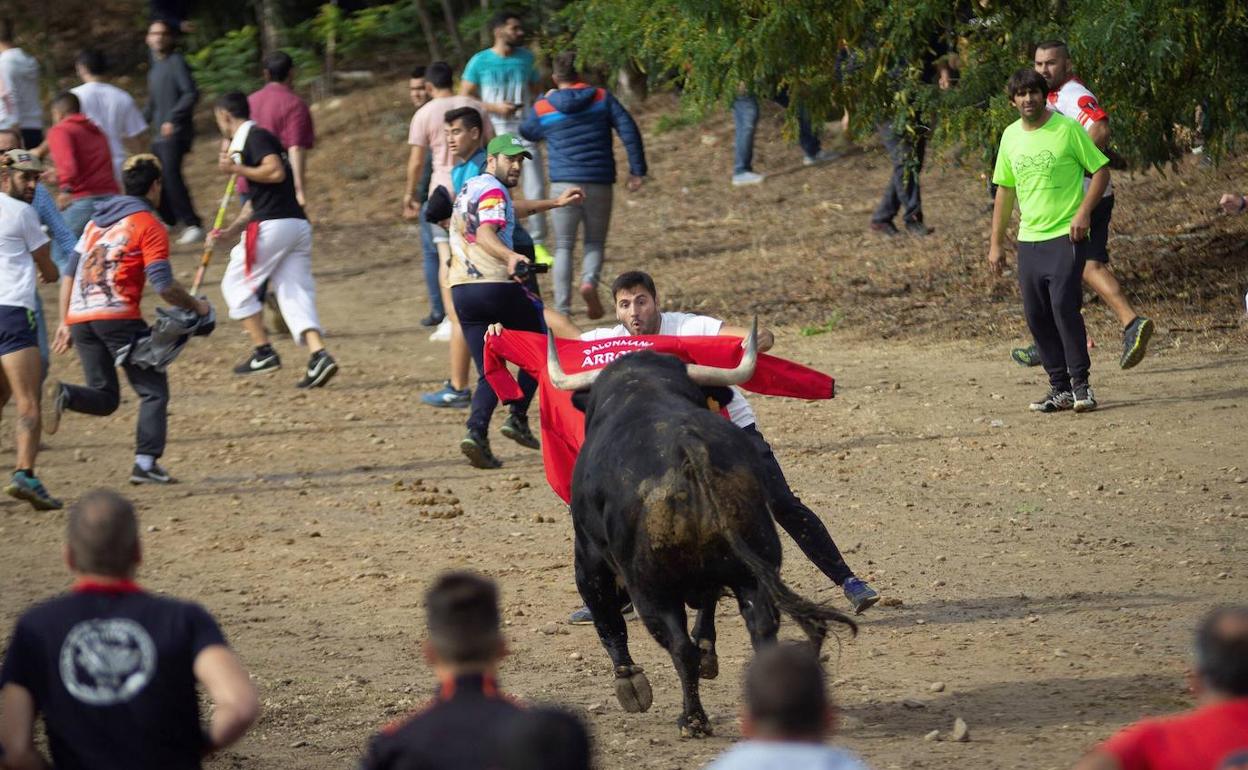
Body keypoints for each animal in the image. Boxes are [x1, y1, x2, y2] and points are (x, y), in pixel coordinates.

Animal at [556, 341, 858, 733]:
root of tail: (688, 448)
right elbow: (709, 609)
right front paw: (708, 655)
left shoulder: (589, 555)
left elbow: (606, 615)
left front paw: (630, 683)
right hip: (752, 566)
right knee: (762, 629)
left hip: (652, 588)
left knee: (678, 645)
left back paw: (692, 720)